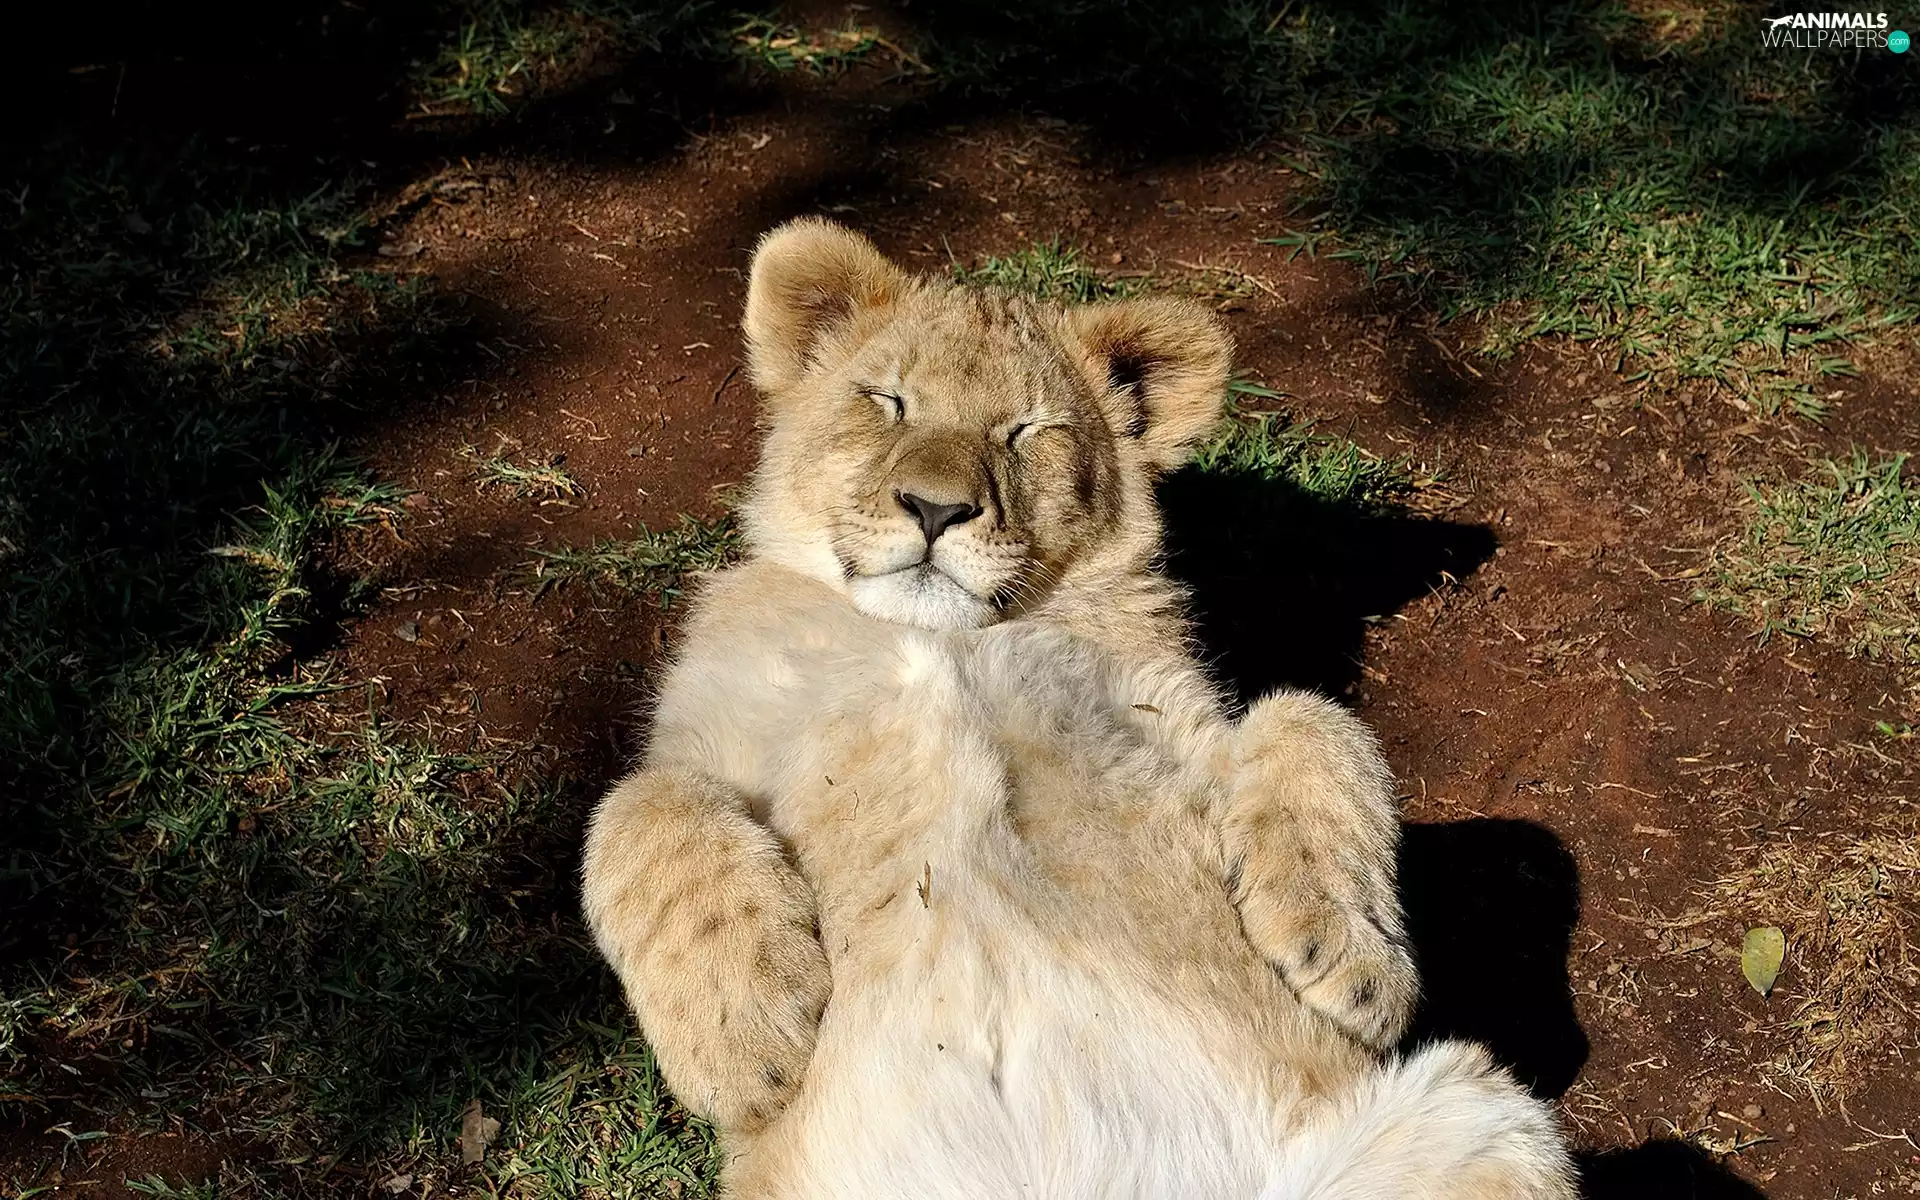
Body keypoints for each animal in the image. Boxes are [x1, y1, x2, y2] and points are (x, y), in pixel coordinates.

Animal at [581, 219, 1576, 1199]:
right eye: (888, 401)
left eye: (1029, 430)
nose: (935, 509)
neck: (945, 639)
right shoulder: (717, 730)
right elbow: (636, 806)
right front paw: (742, 1037)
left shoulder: (1177, 727)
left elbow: (1315, 720)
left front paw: (1351, 962)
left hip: (1486, 1118)